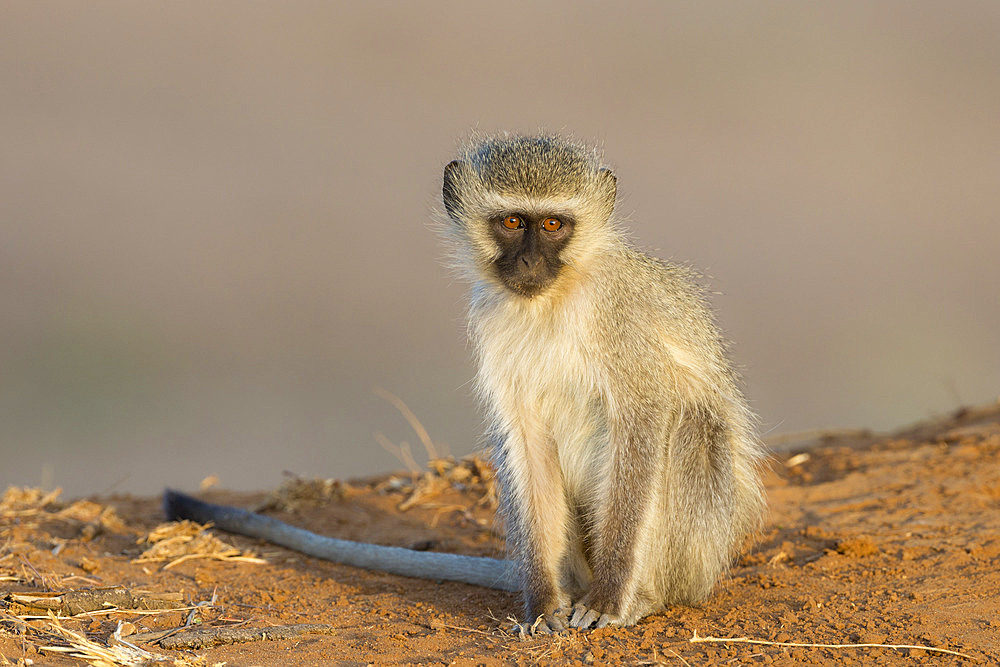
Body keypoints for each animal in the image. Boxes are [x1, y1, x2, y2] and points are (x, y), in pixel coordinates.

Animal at [166, 132, 764, 636]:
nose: (529, 262)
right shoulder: (491, 317)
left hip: (697, 557)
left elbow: (645, 416)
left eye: (552, 226)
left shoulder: (620, 316)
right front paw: (542, 604)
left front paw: (610, 598)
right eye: (512, 222)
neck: (553, 298)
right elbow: (524, 435)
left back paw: (639, 597)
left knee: (688, 427)